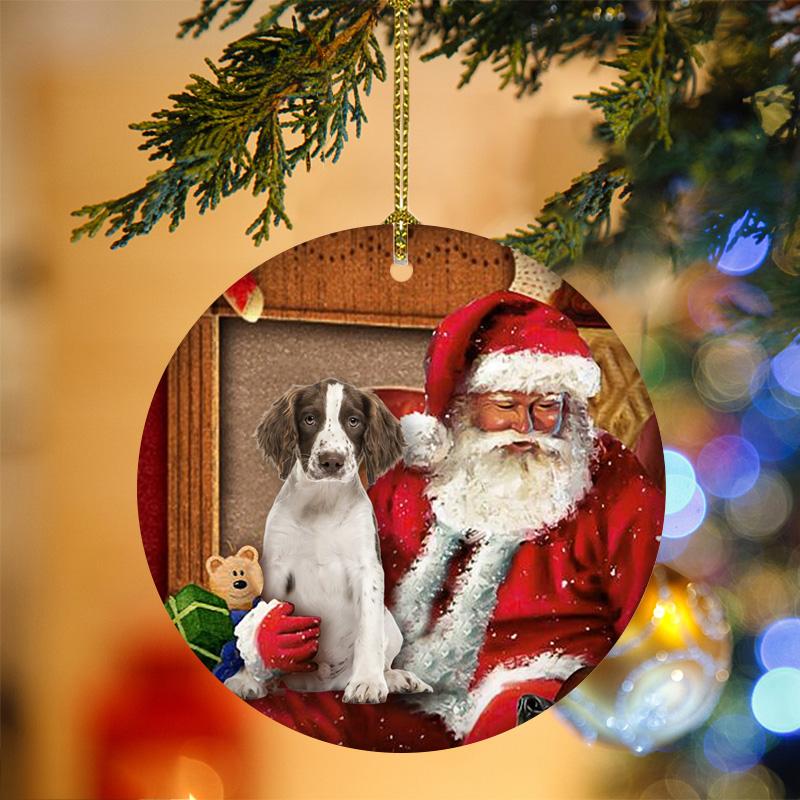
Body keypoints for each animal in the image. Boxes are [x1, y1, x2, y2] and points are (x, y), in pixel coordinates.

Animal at [231, 378, 432, 704]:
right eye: (309, 418)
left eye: (354, 421)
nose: (332, 462)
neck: (323, 503)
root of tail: (319, 684)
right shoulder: (275, 568)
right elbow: (262, 618)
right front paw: (248, 677)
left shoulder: (368, 569)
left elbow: (368, 632)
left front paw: (367, 683)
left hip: (391, 625)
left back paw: (395, 678)